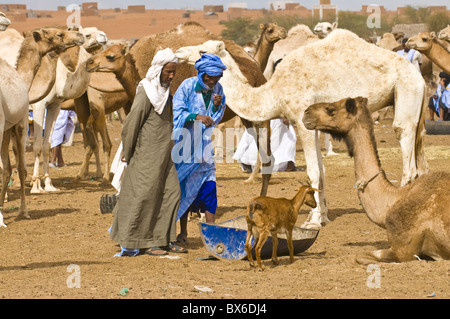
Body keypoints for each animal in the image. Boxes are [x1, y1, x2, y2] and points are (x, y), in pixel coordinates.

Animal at [0, 28, 84, 228]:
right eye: (59, 34)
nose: (80, 36)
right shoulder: (21, 122)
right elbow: (21, 165)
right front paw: (24, 210)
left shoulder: (9, 128)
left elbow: (6, 169)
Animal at [29, 26, 108, 195]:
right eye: (87, 34)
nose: (104, 36)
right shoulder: (39, 104)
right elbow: (37, 145)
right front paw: (36, 186)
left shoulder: (54, 105)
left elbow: (47, 144)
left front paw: (49, 185)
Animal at [175, 31, 428, 229]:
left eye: (202, 51)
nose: (178, 52)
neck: (273, 92)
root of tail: (422, 79)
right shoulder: (311, 123)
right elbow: (322, 171)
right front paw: (323, 216)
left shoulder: (300, 118)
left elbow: (312, 172)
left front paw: (313, 221)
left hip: (406, 91)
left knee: (405, 148)